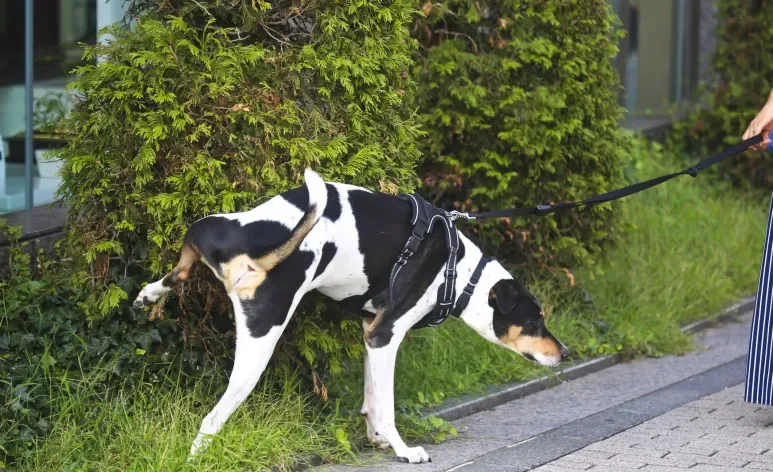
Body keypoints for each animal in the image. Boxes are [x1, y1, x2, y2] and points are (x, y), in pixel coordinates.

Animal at [131, 168, 568, 462]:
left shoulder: (370, 332)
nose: (564, 353)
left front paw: (376, 438)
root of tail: (247, 248)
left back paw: (149, 293)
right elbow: (386, 407)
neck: (457, 272)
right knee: (212, 419)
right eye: (535, 321)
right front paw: (403, 450)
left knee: (182, 264)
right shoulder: (385, 337)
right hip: (259, 343)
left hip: (209, 228)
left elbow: (372, 400)